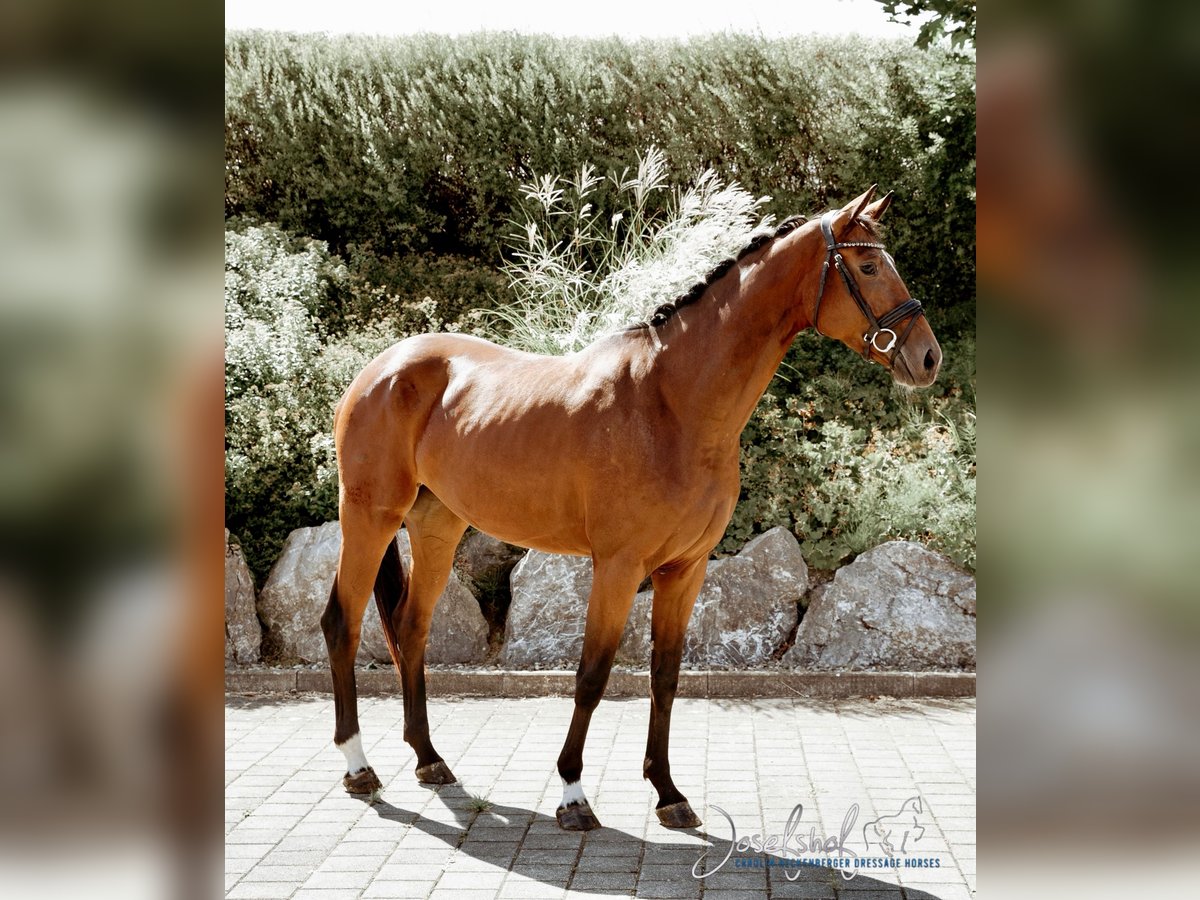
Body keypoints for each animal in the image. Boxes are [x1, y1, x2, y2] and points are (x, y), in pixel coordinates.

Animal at [320, 185, 941, 831]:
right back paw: (359, 767)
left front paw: (668, 792)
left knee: (411, 629)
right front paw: (572, 794)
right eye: (867, 266)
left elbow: (665, 677)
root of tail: (379, 369)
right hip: (369, 516)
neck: (671, 403)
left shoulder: (684, 570)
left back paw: (429, 758)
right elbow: (593, 675)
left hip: (437, 525)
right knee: (342, 623)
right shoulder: (617, 567)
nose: (928, 357)